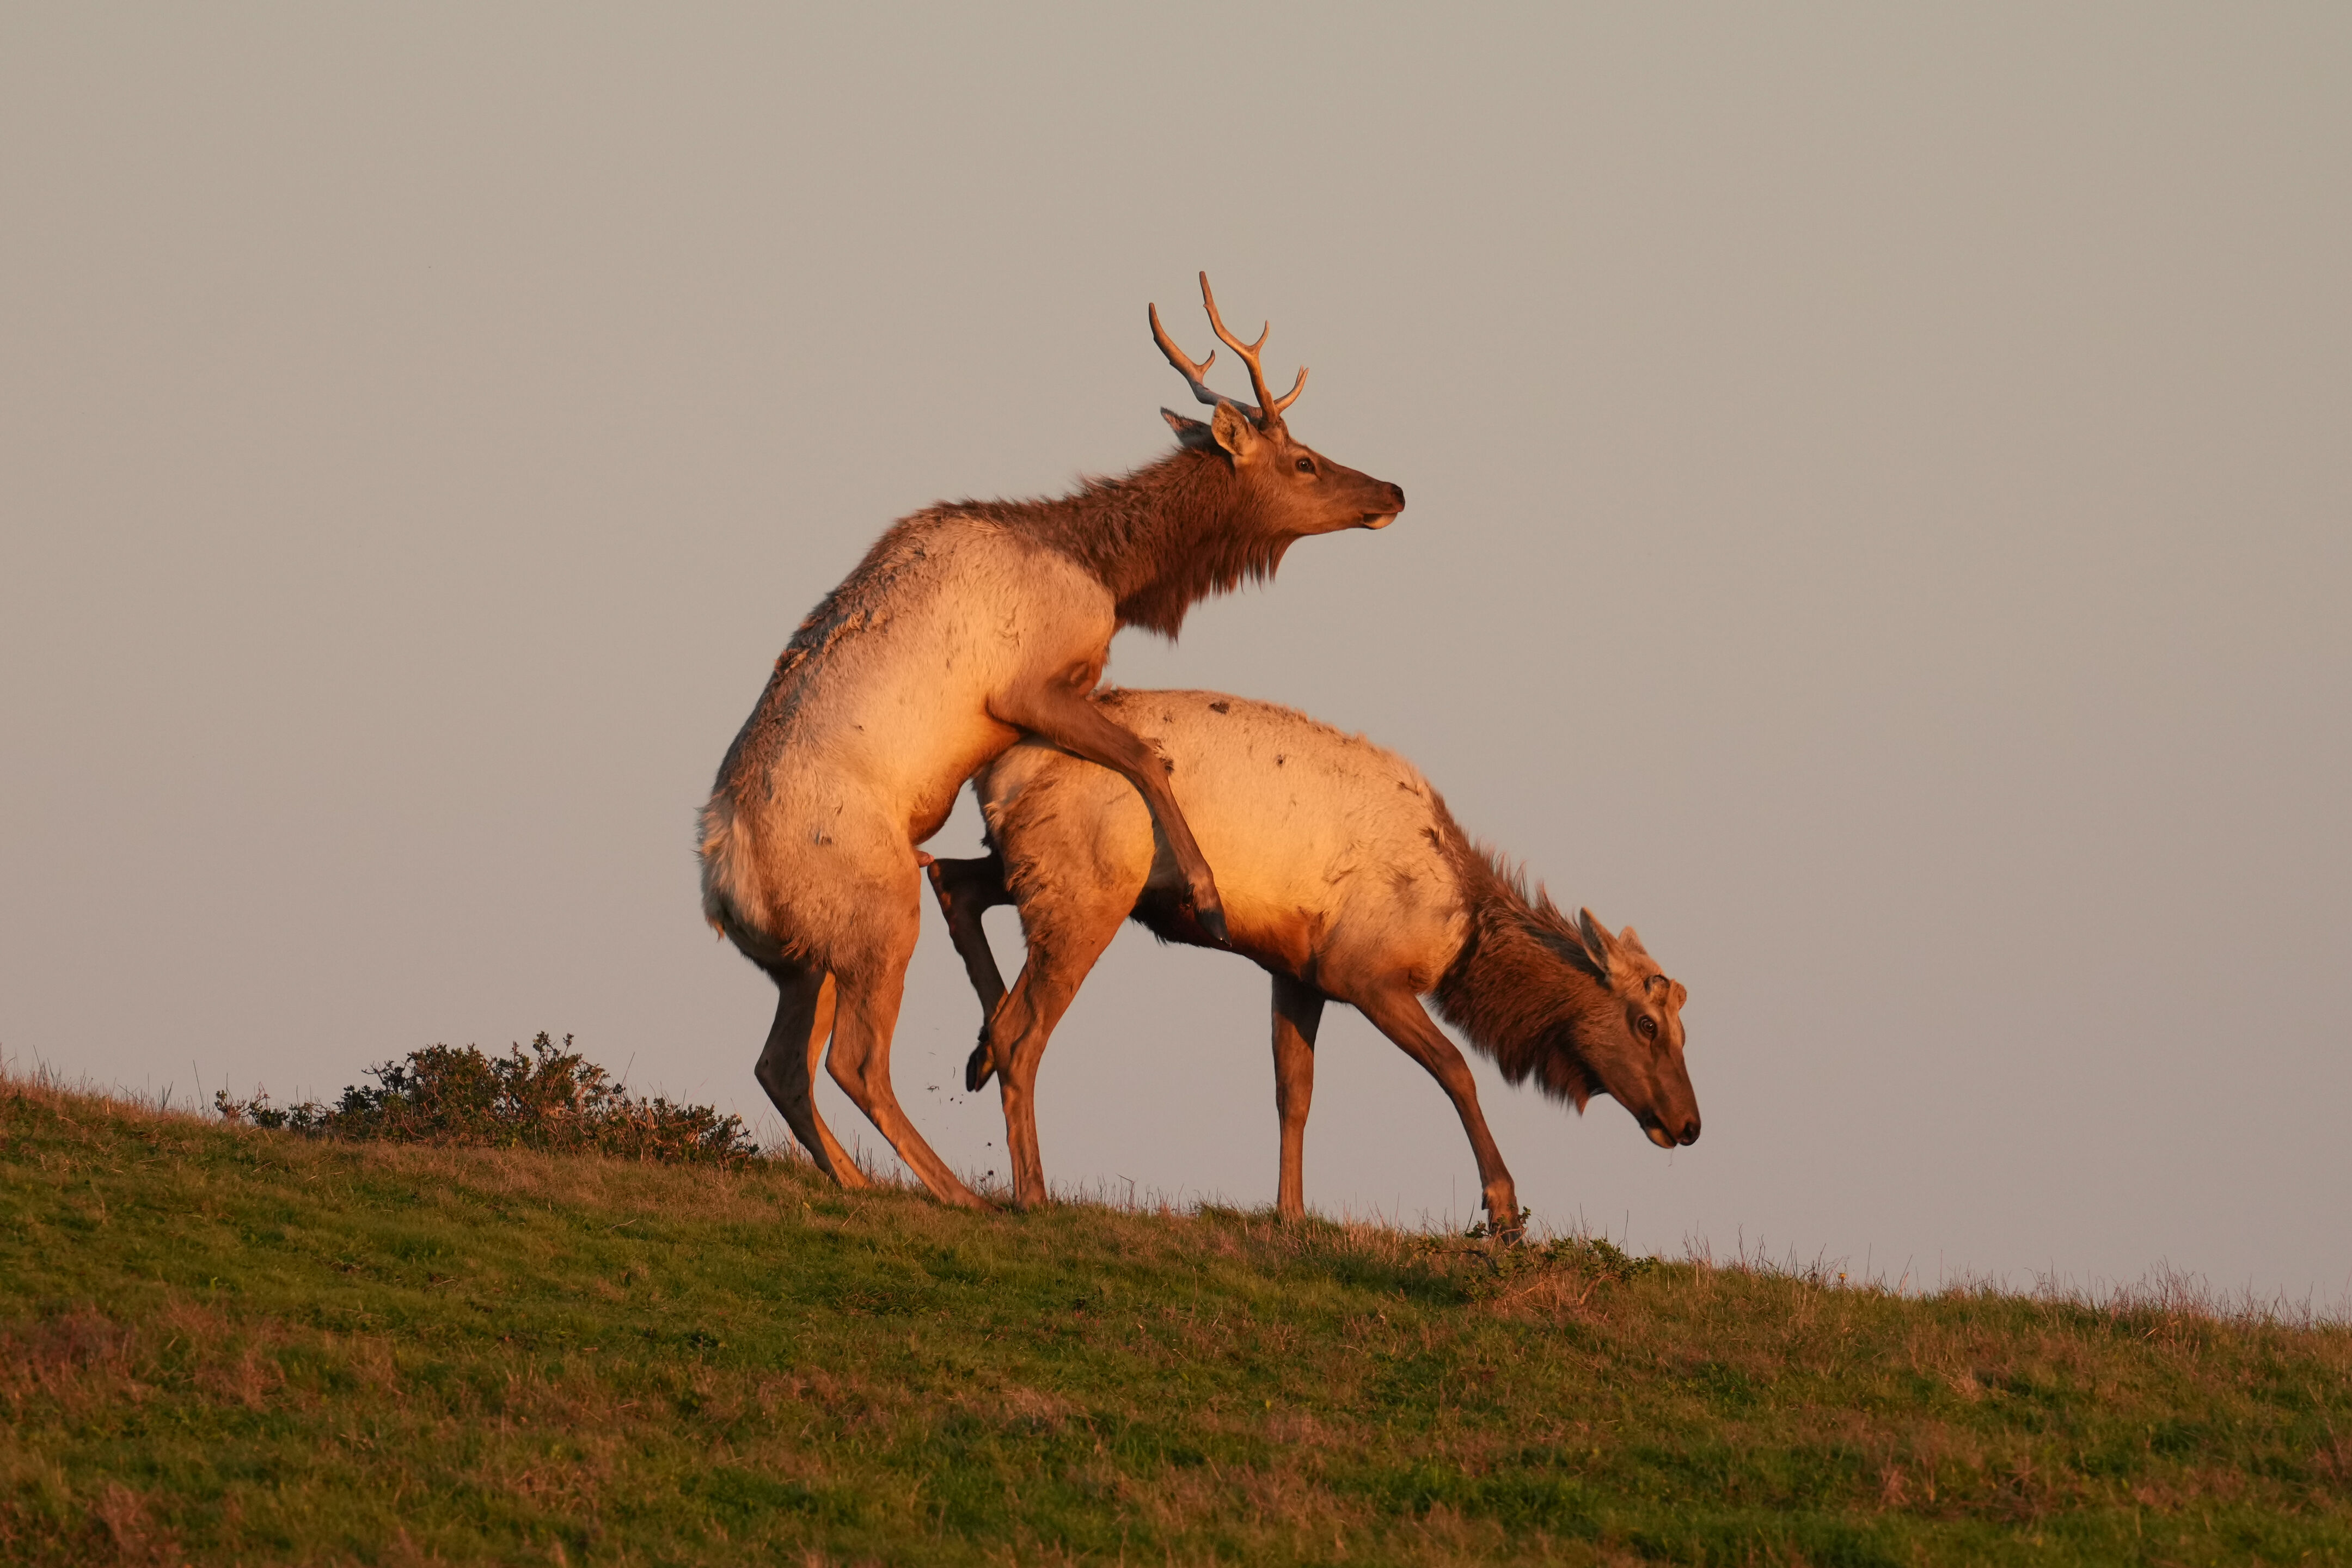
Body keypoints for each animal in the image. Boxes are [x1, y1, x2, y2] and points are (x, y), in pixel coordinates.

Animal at [699, 278, 1407, 1209]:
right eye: (1305, 463)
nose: (1393, 491)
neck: (1110, 572)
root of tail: (723, 882)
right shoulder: (1026, 686)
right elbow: (1144, 758)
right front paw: (1207, 895)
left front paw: (985, 1036)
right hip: (875, 911)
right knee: (853, 1060)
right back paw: (956, 1192)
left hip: (803, 957)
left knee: (780, 1065)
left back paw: (858, 1181)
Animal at [924, 689, 1700, 1233]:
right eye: (1646, 1023)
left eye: (1682, 1029)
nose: (1690, 1124)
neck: (1459, 938)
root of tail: (996, 771)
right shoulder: (1366, 974)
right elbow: (1457, 1070)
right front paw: (1504, 1211)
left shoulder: (1298, 972)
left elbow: (1293, 1093)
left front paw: (1292, 1213)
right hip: (1089, 887)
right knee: (1025, 1029)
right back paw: (1032, 1188)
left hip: (1033, 866)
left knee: (951, 880)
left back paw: (977, 1050)